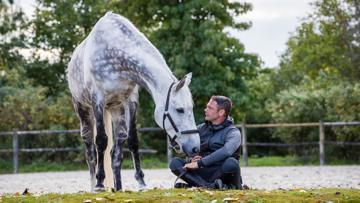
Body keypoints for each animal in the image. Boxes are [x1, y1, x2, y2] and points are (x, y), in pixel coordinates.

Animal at [67, 11, 200, 191]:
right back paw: (94, 185)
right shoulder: (98, 99)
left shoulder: (131, 100)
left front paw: (141, 182)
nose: (195, 147)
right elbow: (101, 141)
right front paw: (100, 182)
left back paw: (118, 188)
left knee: (116, 151)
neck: (115, 53)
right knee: (90, 150)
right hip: (83, 108)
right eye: (180, 109)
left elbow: (133, 141)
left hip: (116, 110)